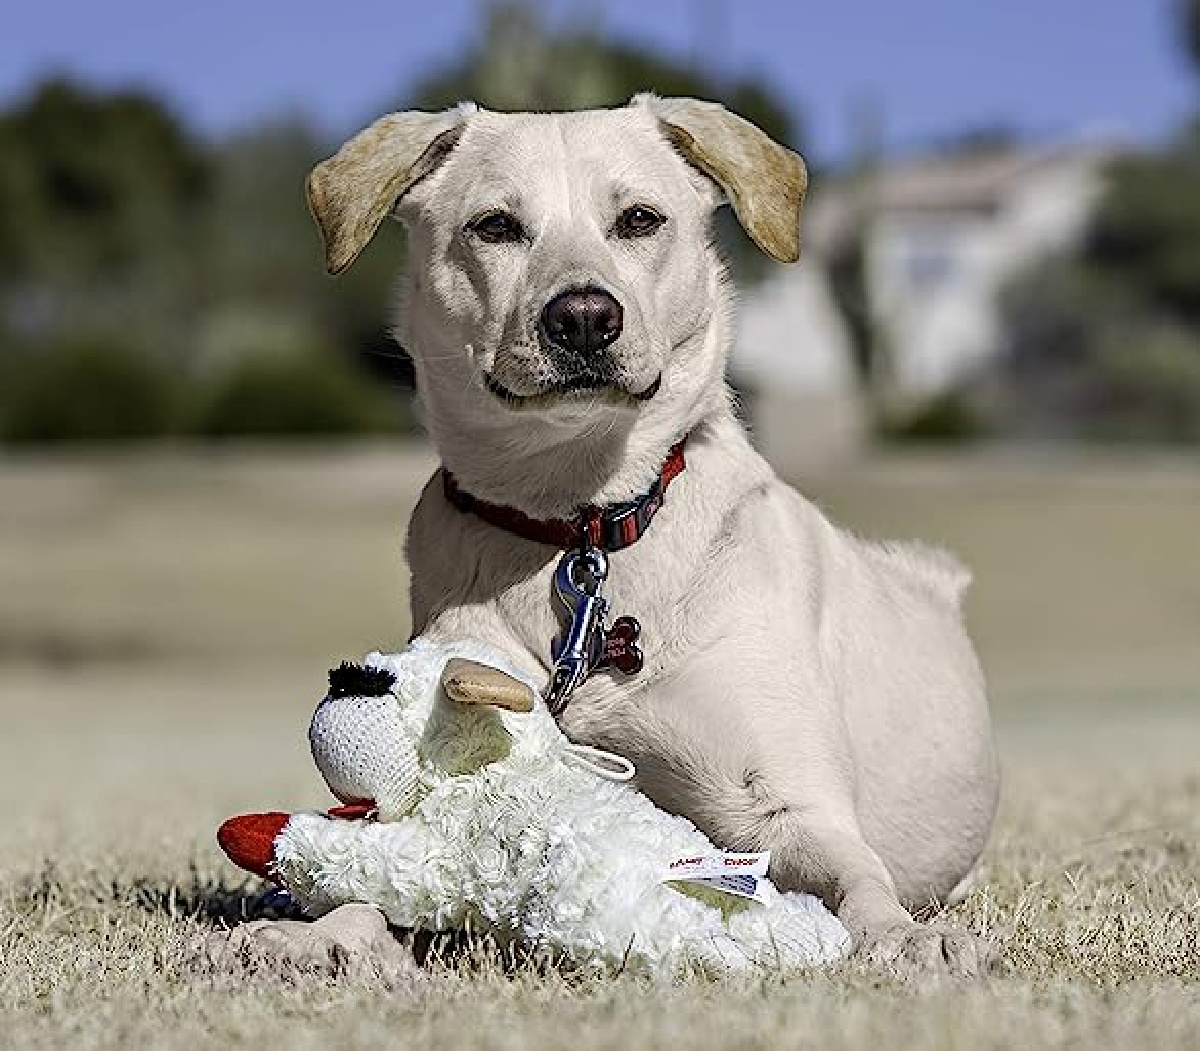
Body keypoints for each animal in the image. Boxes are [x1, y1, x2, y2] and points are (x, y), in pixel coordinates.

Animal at [231, 94, 993, 979]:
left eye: (639, 219)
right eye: (495, 225)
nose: (585, 316)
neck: (581, 520)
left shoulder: (782, 801)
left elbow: (854, 875)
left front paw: (905, 936)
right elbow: (381, 876)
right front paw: (318, 934)